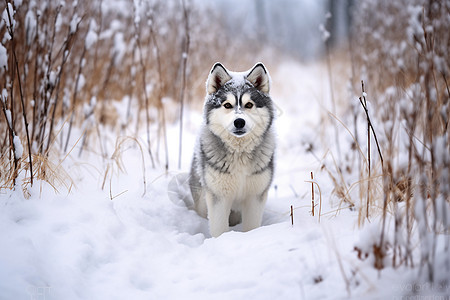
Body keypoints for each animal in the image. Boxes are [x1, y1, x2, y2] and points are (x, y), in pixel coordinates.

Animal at [189, 62, 276, 237]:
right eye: (227, 105)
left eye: (249, 105)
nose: (239, 122)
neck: (239, 153)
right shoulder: (219, 197)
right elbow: (219, 229)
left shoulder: (255, 197)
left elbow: (252, 227)